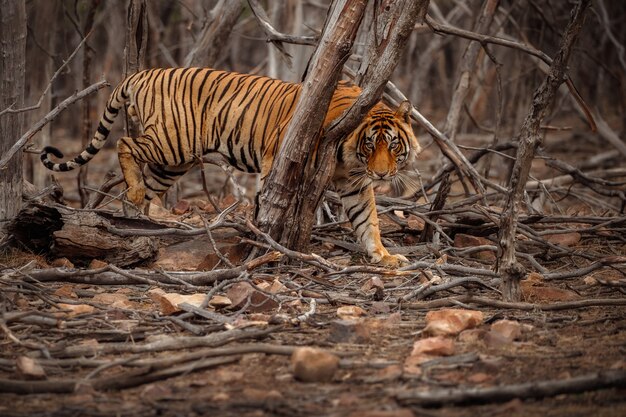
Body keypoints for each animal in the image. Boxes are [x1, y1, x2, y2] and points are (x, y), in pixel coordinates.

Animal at [42, 66, 420, 264]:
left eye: (393, 145)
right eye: (371, 144)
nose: (382, 173)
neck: (351, 154)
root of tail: (142, 72)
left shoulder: (356, 183)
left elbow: (368, 221)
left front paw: (383, 256)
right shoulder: (278, 157)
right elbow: (271, 202)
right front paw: (266, 244)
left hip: (172, 164)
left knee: (140, 191)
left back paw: (138, 223)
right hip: (170, 144)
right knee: (124, 144)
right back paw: (134, 196)